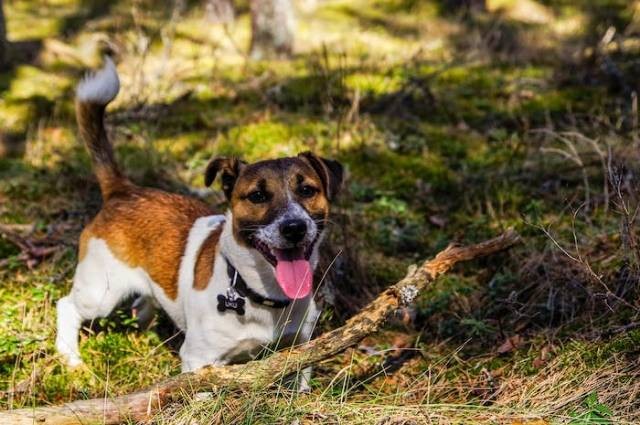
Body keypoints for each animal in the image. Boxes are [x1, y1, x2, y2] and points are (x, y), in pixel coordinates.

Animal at [54, 56, 342, 384]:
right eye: (257, 196)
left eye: (307, 190)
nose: (294, 228)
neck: (259, 294)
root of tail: (123, 190)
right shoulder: (199, 361)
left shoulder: (300, 348)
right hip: (99, 293)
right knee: (67, 306)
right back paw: (70, 357)